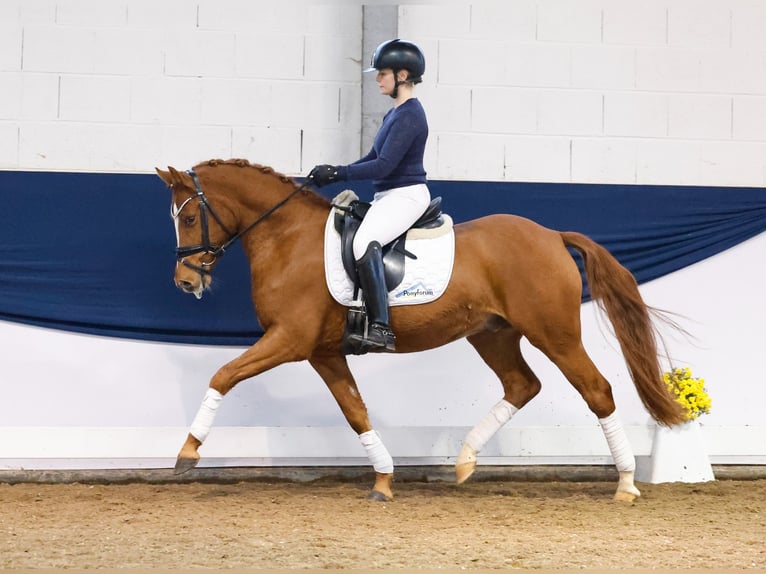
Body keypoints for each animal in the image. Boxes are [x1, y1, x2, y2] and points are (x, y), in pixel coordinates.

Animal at [156, 159, 684, 504]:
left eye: (189, 217)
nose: (185, 283)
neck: (288, 239)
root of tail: (552, 235)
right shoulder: (323, 352)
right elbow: (355, 411)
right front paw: (384, 480)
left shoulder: (289, 340)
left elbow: (224, 374)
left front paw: (187, 452)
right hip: (492, 334)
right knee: (522, 384)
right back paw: (466, 460)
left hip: (554, 334)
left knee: (596, 389)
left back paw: (626, 484)